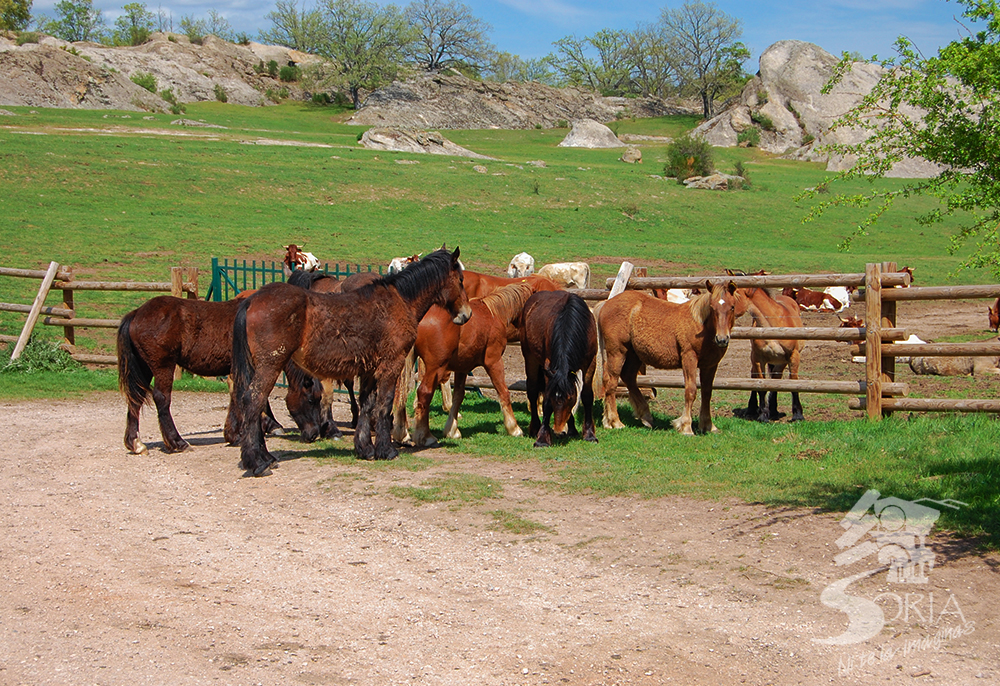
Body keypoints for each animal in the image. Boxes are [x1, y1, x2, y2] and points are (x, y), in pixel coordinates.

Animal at [116, 296, 328, 454]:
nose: (314, 434)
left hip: (144, 368)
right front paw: (239, 433)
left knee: (136, 399)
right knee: (161, 399)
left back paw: (135, 443)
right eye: (311, 400)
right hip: (163, 366)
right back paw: (177, 442)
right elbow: (244, 395)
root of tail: (137, 313)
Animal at [408, 282, 540, 448]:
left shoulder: (462, 368)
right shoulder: (494, 361)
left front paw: (452, 431)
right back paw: (425, 436)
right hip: (435, 368)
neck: (495, 313)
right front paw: (514, 428)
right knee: (424, 393)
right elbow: (503, 392)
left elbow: (458, 396)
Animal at [520, 288, 596, 446]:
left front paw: (589, 434)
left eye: (570, 398)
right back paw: (535, 427)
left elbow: (587, 396)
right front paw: (542, 438)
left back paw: (571, 428)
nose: (558, 430)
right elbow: (546, 401)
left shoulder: (590, 363)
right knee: (532, 391)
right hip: (530, 358)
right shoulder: (549, 366)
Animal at [592, 284, 744, 436]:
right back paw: (615, 422)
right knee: (611, 382)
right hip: (617, 352)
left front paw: (708, 426)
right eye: (712, 307)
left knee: (628, 377)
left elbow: (707, 393)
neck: (701, 326)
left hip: (634, 355)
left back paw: (644, 417)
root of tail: (606, 303)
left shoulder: (710, 365)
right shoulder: (689, 358)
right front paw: (686, 427)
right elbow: (691, 391)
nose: (722, 339)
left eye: (732, 307)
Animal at [736, 286, 804, 424]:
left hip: (779, 362)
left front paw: (798, 415)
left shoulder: (792, 357)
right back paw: (752, 409)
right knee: (754, 377)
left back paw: (774, 411)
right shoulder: (758, 359)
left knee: (775, 378)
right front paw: (763, 415)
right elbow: (761, 385)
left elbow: (791, 382)